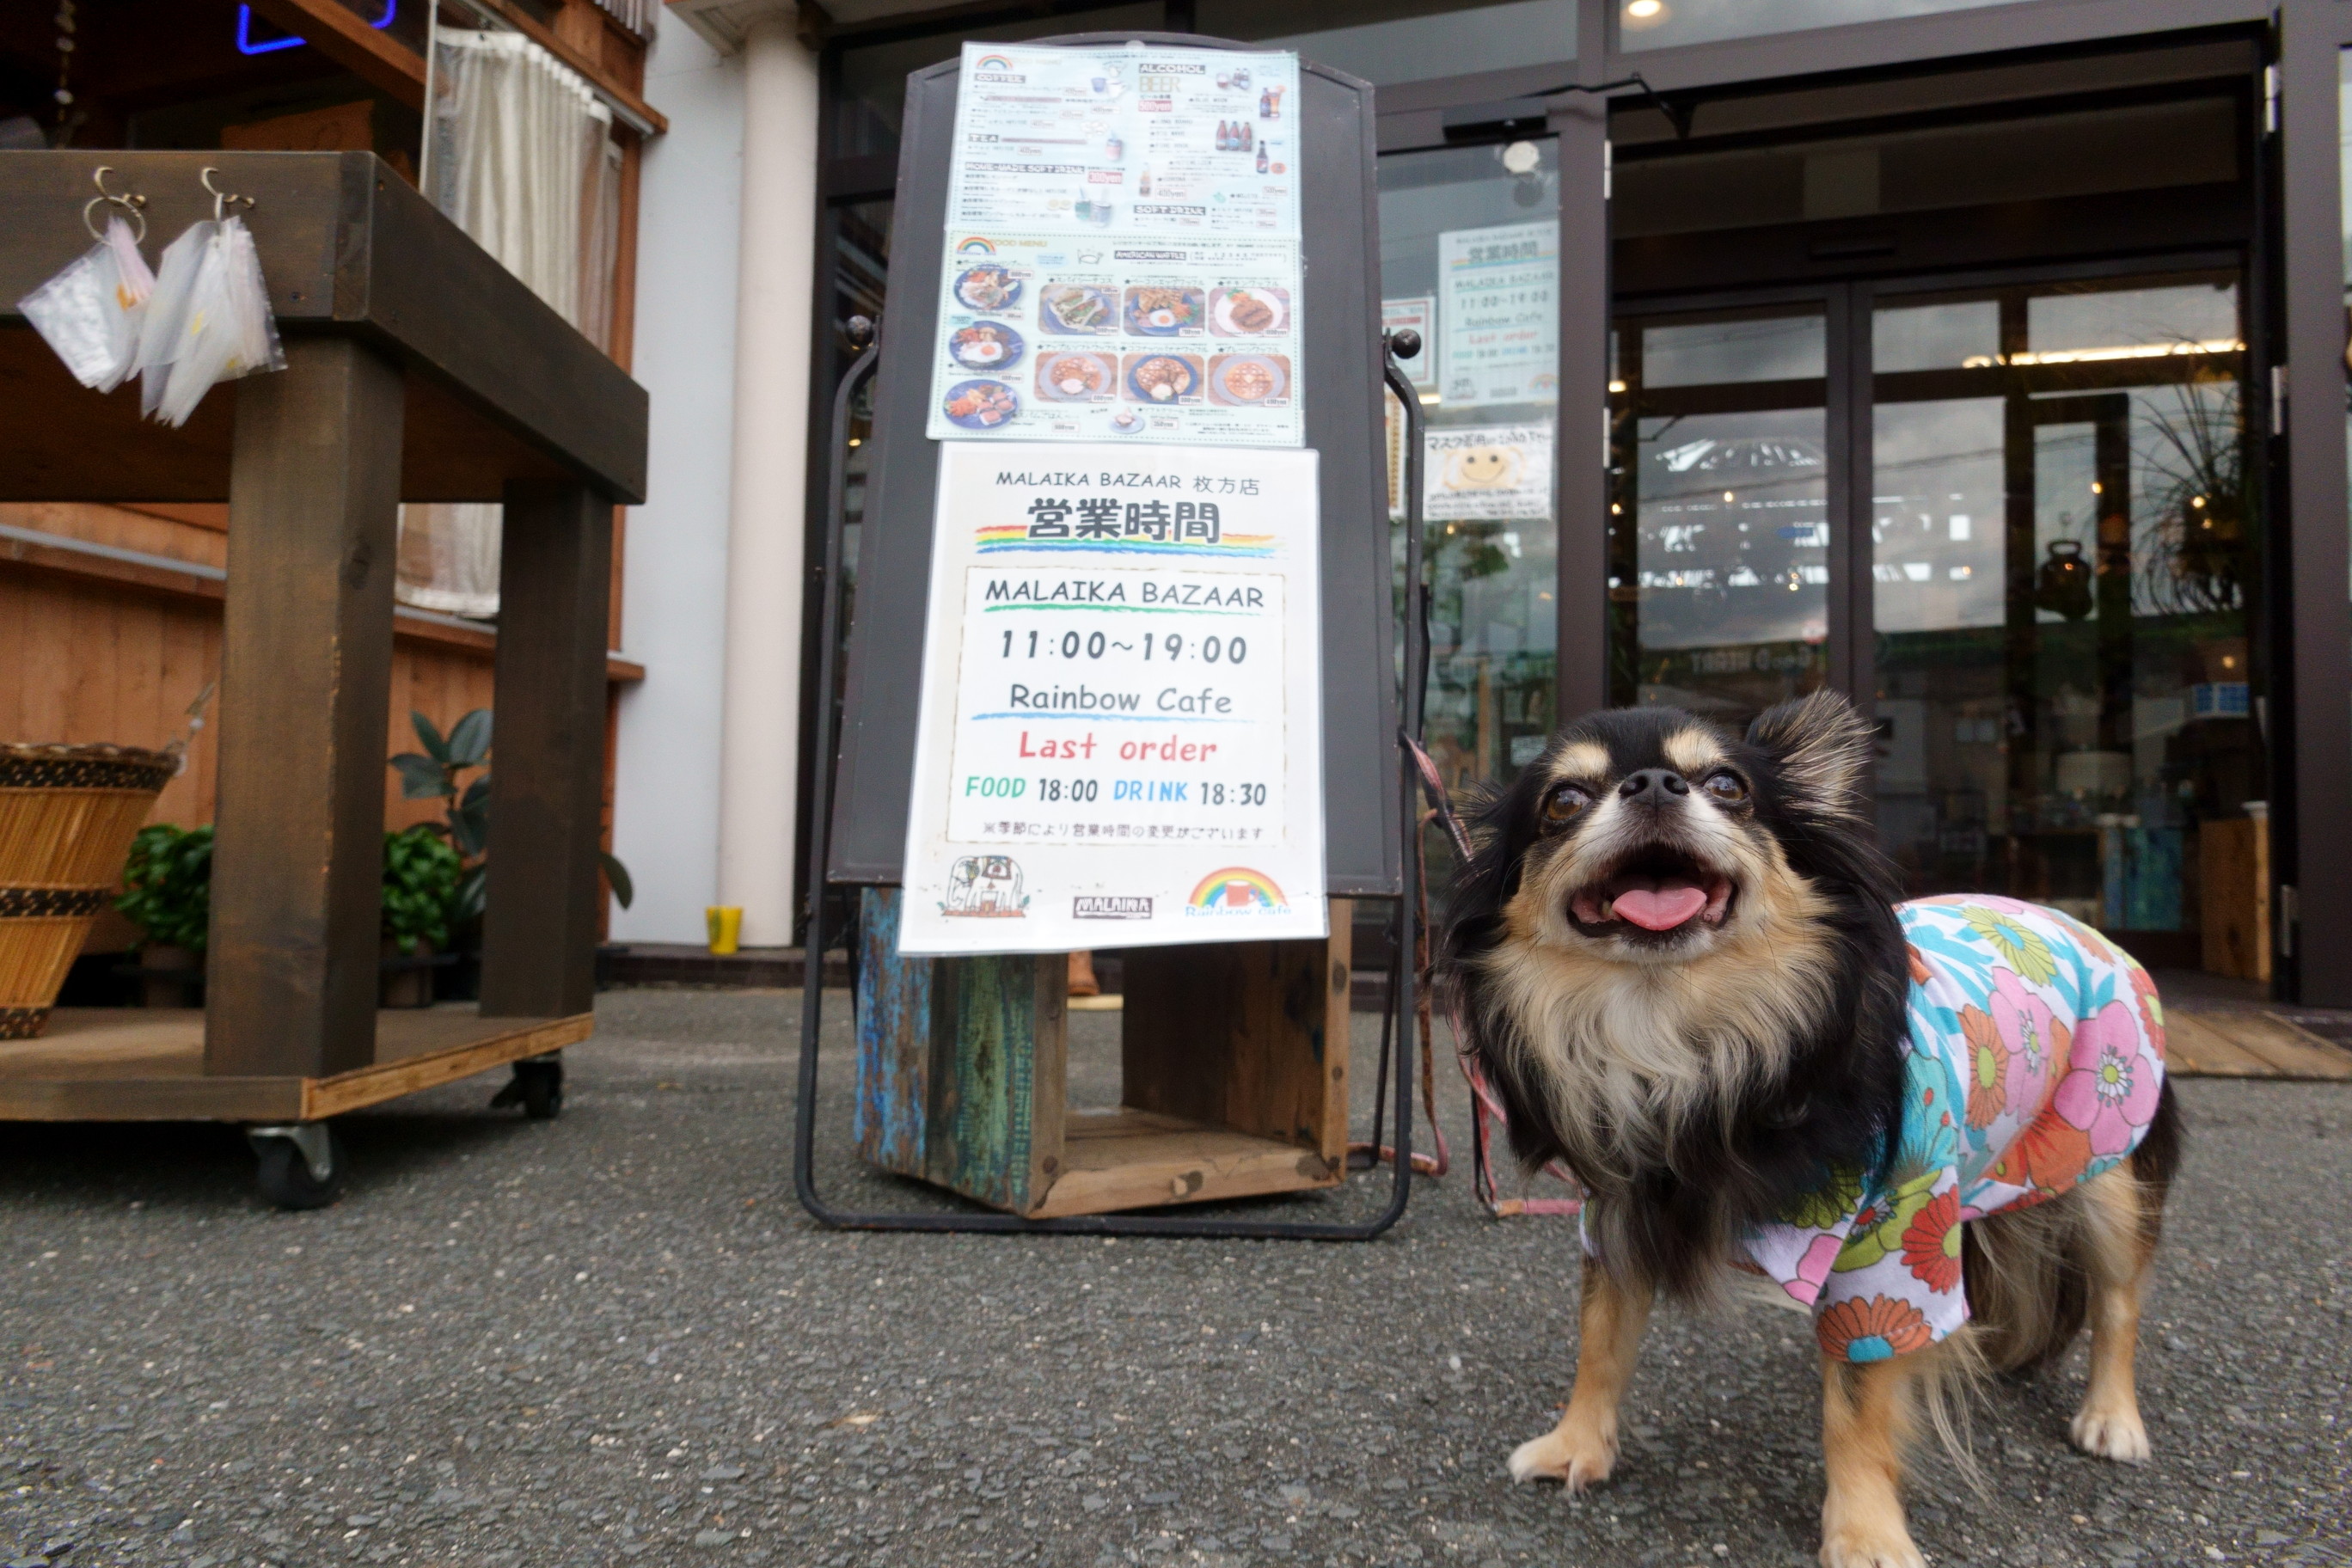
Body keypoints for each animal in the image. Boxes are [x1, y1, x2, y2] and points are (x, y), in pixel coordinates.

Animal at [1430, 690, 2183, 1568]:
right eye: (1563, 802)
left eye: (1727, 786)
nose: (1653, 783)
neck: (1680, 1041)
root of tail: (2067, 919)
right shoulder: (1614, 1209)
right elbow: (1601, 1335)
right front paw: (1576, 1443)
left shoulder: (1894, 1238)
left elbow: (1856, 1406)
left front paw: (1865, 1531)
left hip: (2107, 1168)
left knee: (2119, 1298)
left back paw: (2111, 1415)